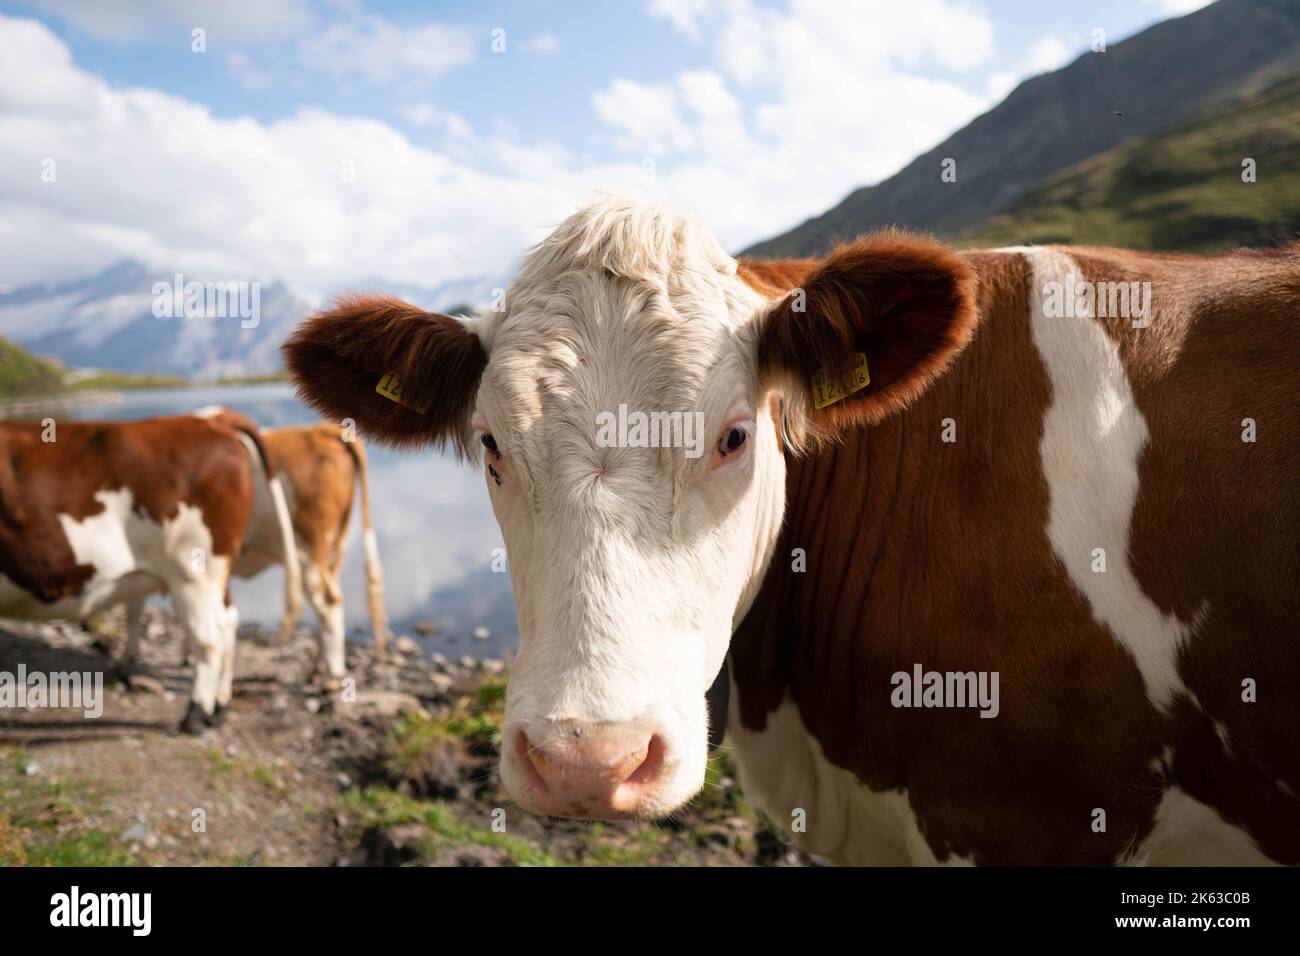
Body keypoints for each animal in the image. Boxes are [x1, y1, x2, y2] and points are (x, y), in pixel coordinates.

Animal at [1, 408, 299, 733]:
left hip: (192, 571)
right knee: (228, 622)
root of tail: (208, 420)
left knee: (210, 637)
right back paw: (218, 705)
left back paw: (196, 713)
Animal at [122, 418, 395, 681]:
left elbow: (136, 606)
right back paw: (316, 670)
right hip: (335, 547)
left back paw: (333, 678)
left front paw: (132, 655)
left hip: (308, 550)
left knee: (329, 603)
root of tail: (320, 430)